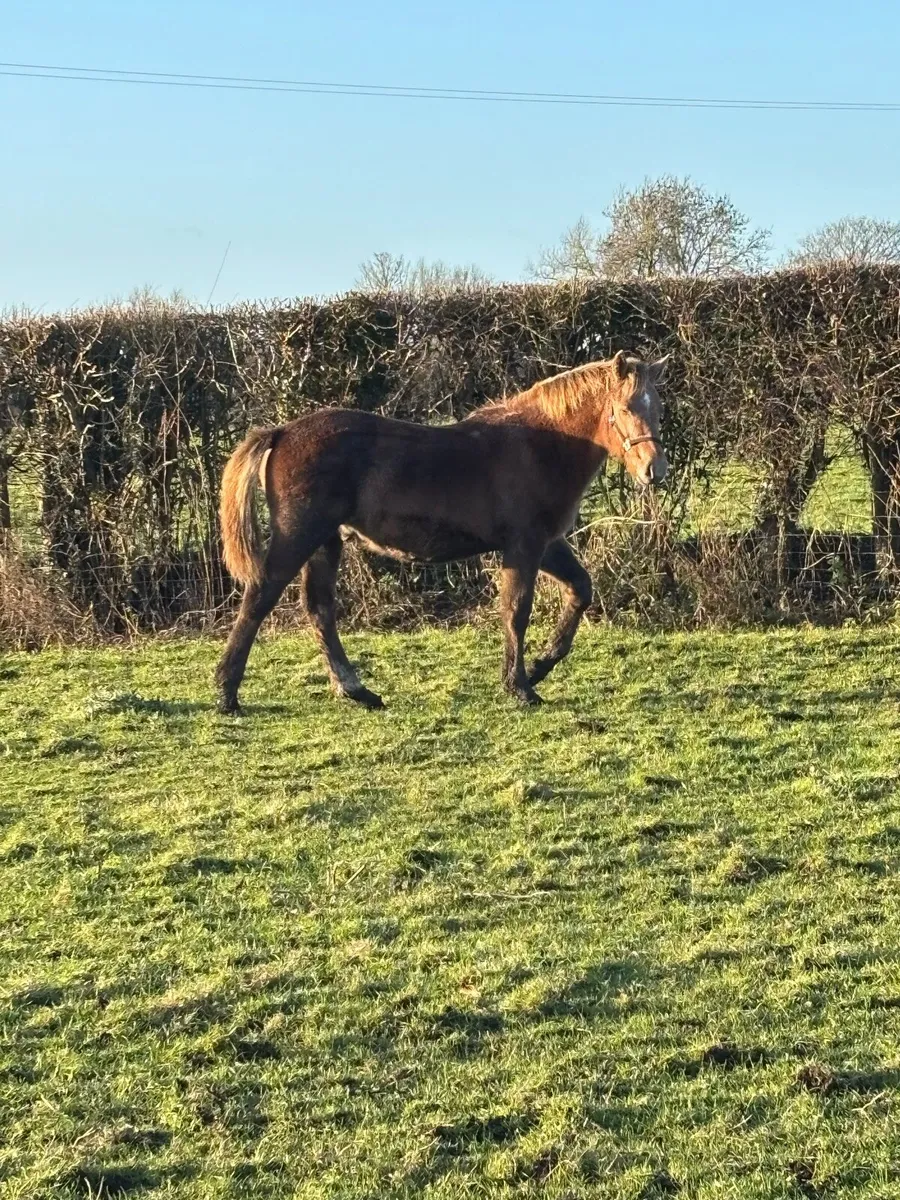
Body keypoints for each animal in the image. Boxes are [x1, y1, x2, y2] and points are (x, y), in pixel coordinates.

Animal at [215, 349, 669, 713]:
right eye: (625, 407)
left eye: (657, 406)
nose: (655, 470)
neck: (540, 445)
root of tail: (281, 432)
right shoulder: (524, 546)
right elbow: (516, 611)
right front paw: (520, 686)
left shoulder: (548, 544)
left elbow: (580, 590)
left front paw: (540, 667)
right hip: (300, 536)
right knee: (260, 599)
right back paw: (227, 693)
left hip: (326, 543)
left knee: (320, 610)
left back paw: (357, 691)